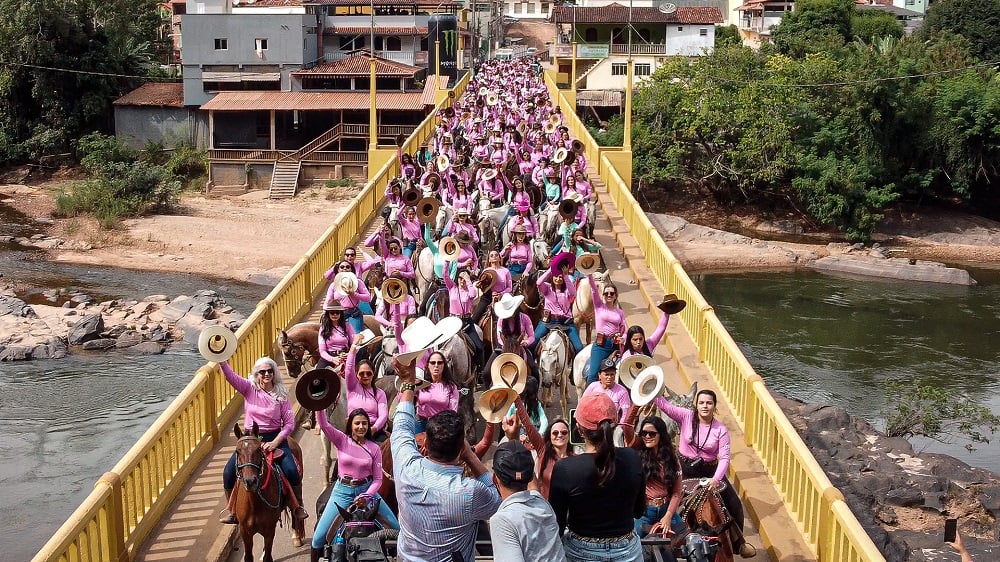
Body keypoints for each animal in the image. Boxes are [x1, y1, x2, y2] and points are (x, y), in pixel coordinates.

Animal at [233, 422, 306, 556]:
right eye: (237, 451)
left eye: (258, 450)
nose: (250, 481)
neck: (255, 504)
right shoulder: (245, 531)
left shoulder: (269, 530)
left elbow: (268, 555)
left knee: (295, 508)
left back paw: (296, 537)